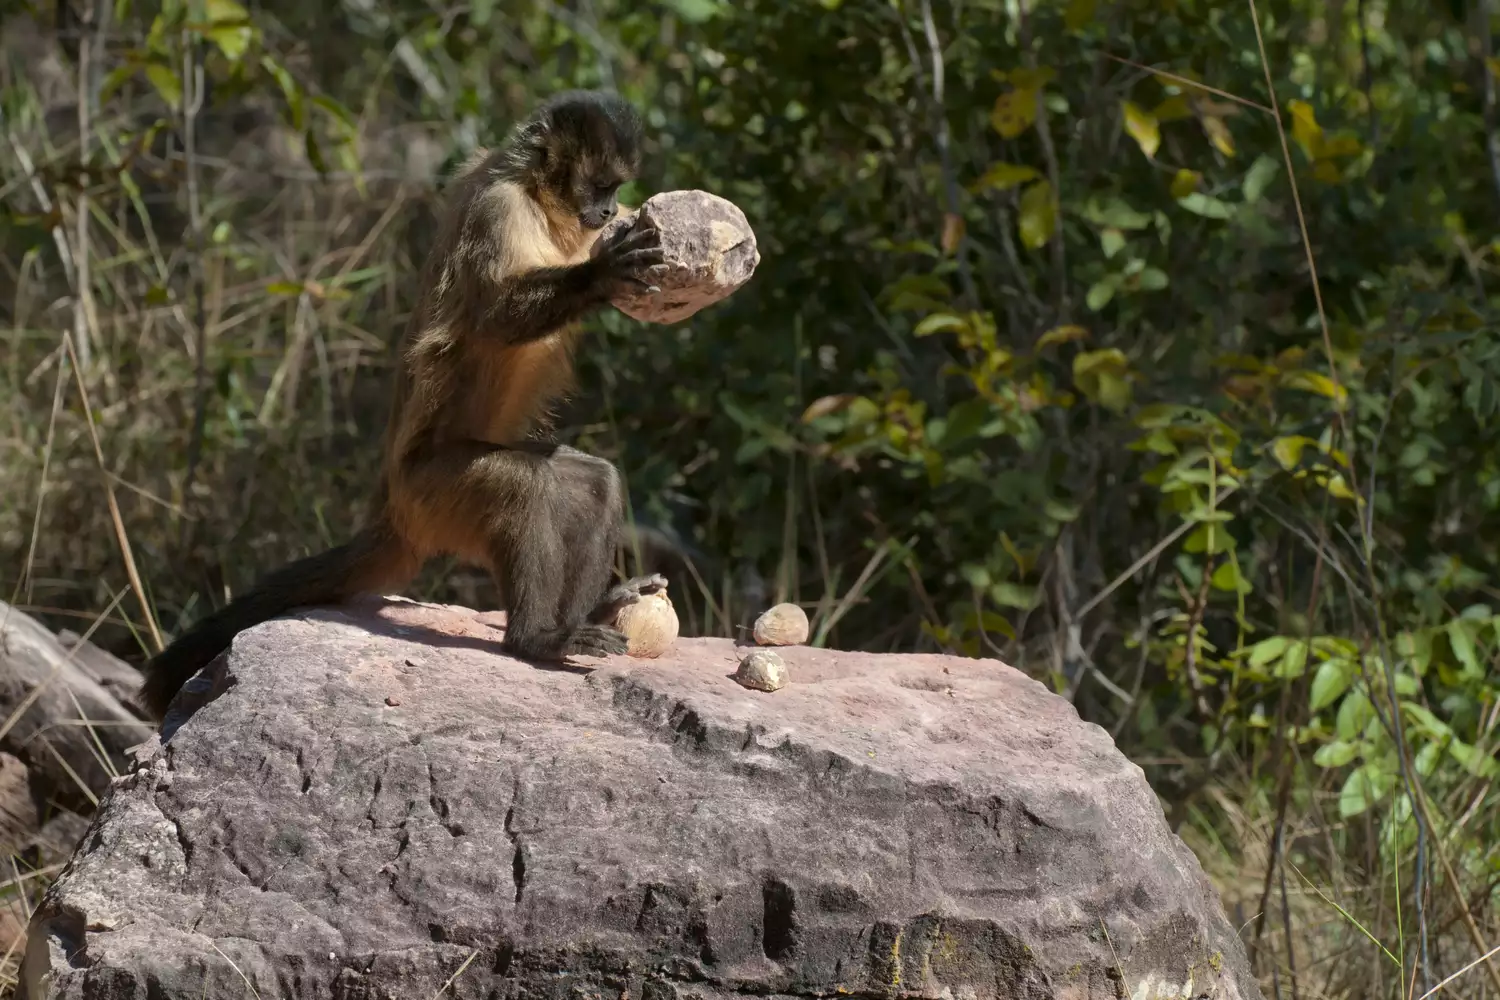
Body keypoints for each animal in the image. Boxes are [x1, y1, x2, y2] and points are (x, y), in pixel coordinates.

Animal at [141, 88, 669, 719]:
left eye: (617, 190)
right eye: (598, 186)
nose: (607, 214)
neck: (537, 198)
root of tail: (389, 504)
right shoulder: (498, 207)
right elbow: (495, 318)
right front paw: (601, 274)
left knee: (592, 481)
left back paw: (582, 614)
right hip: (432, 496)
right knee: (525, 486)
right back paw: (536, 639)